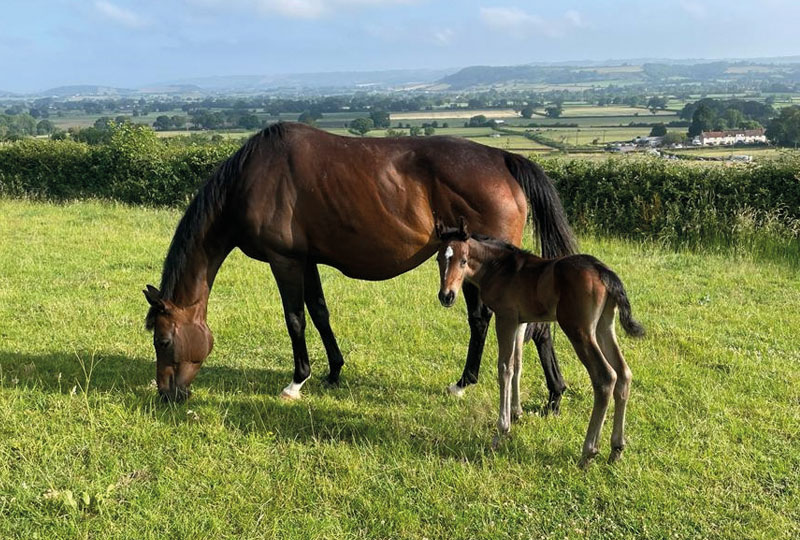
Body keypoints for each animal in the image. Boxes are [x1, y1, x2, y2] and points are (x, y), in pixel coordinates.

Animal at [434, 217, 648, 466]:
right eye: (439, 259)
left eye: (463, 260)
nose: (446, 296)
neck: (499, 267)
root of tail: (602, 270)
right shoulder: (521, 321)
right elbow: (517, 365)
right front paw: (516, 413)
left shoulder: (505, 317)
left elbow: (504, 368)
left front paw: (501, 431)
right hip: (604, 326)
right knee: (624, 374)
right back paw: (616, 449)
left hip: (579, 330)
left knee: (605, 377)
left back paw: (588, 451)